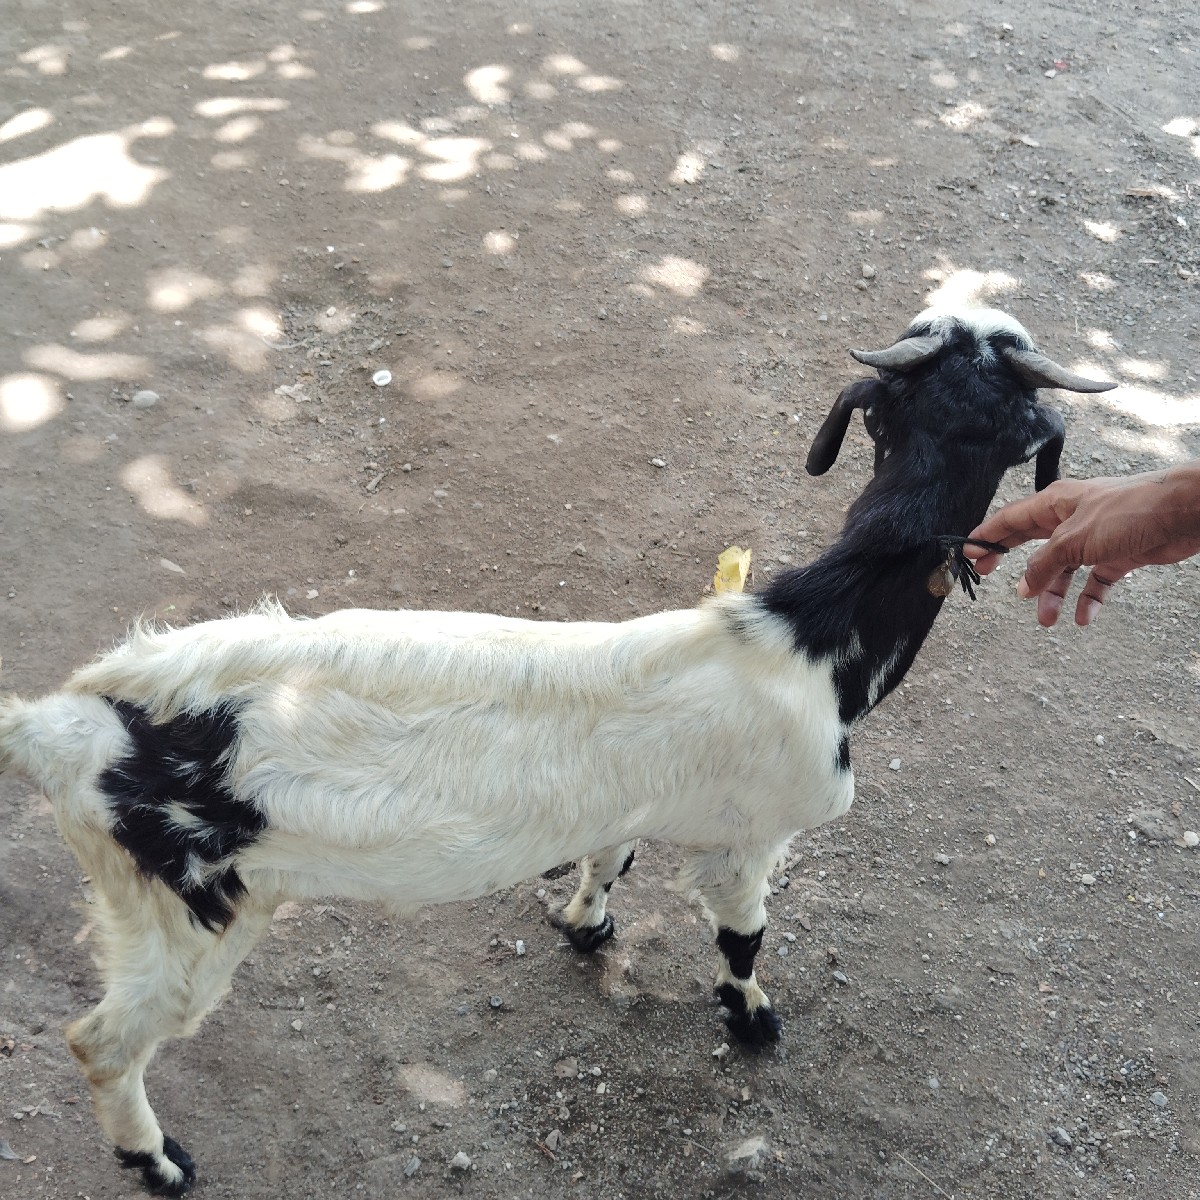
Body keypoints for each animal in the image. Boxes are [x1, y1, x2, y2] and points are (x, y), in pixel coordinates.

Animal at [0, 305, 1114, 1195]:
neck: (812, 636)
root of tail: (61, 722)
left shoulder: (635, 803)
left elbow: (607, 857)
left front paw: (586, 925)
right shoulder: (753, 835)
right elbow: (742, 937)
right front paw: (752, 1021)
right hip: (184, 908)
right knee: (102, 1042)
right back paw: (156, 1161)